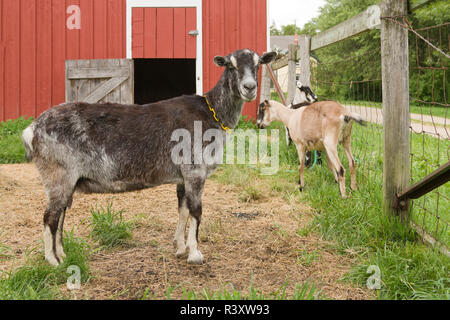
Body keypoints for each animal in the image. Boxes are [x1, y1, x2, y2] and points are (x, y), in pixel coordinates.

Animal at [22, 48, 278, 266]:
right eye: (231, 66)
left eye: (258, 64)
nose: (249, 87)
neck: (211, 112)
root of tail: (32, 129)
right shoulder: (195, 171)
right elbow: (196, 211)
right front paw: (195, 254)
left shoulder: (183, 176)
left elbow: (183, 209)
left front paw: (180, 248)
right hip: (58, 174)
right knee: (50, 217)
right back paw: (53, 262)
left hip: (67, 180)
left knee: (61, 215)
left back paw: (63, 255)